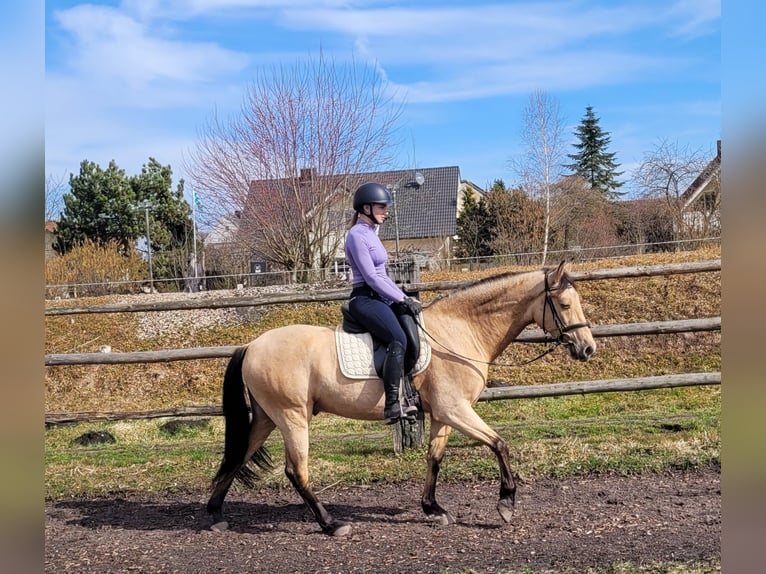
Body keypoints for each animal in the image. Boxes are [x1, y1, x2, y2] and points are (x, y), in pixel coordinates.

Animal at [207, 264, 596, 536]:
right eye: (564, 304)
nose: (588, 349)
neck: (459, 330)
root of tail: (251, 345)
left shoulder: (442, 414)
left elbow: (434, 459)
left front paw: (433, 509)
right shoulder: (456, 410)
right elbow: (499, 444)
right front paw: (505, 505)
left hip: (267, 417)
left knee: (236, 456)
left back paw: (215, 515)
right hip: (291, 417)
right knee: (295, 470)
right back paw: (332, 524)